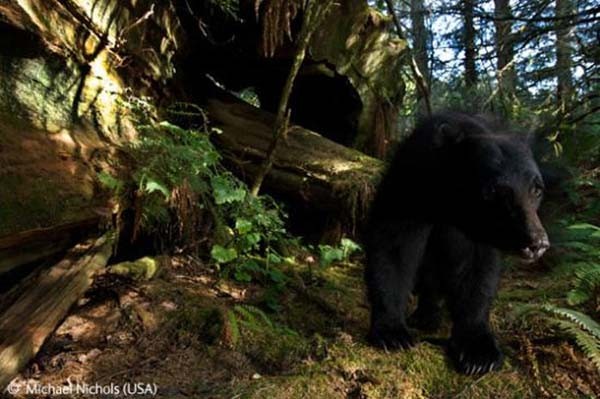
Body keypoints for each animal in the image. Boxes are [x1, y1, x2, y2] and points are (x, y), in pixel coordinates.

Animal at [364, 111, 552, 376]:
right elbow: (394, 246)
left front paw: (478, 352)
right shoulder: (411, 181)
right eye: (494, 191)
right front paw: (392, 332)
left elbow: (477, 271)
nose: (536, 242)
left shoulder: (479, 235)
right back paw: (425, 316)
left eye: (536, 189)